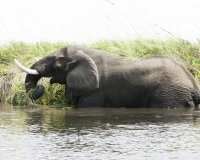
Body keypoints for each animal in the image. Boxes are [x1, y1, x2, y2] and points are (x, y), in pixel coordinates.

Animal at [14, 44, 200, 108]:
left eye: (54, 61)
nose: (41, 86)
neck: (85, 53)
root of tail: (194, 86)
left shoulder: (96, 91)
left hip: (168, 95)